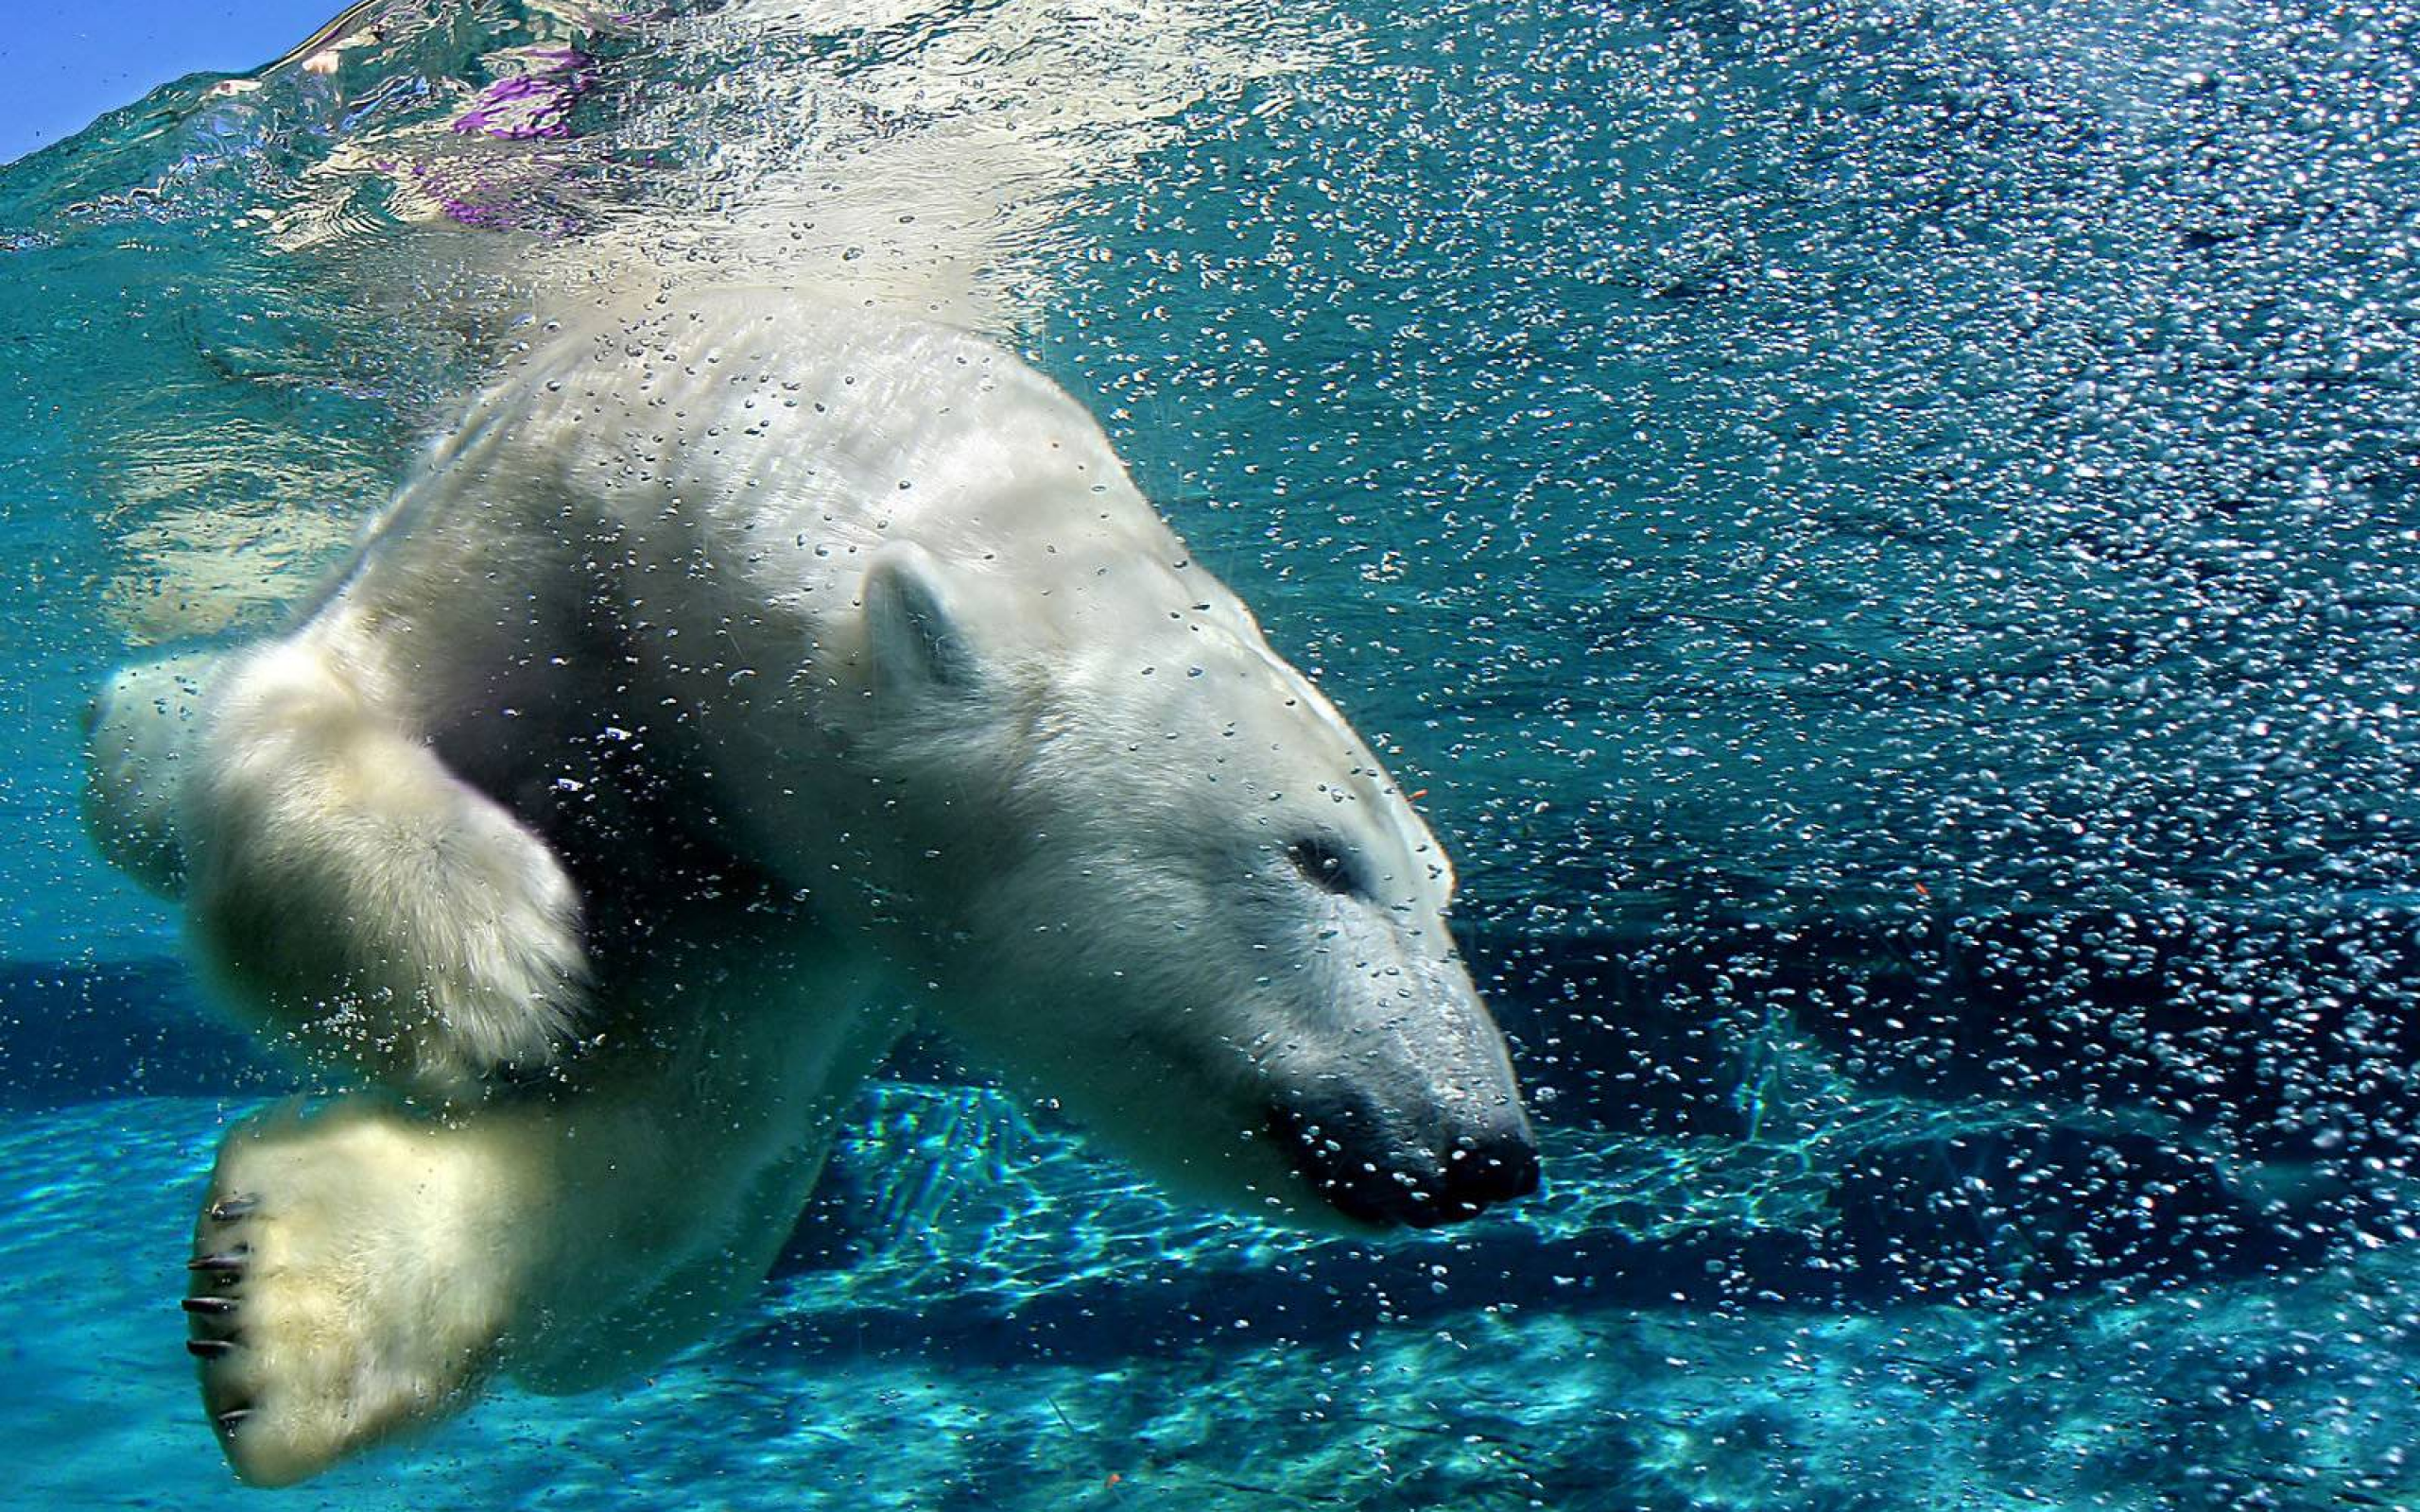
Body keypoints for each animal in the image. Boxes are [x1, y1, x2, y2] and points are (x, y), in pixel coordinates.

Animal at [94, 285, 1539, 1489]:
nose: (1483, 1151)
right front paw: (489, 962)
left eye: (1442, 889)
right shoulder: (542, 524)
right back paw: (135, 719)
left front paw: (274, 1297)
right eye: (1319, 856)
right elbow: (325, 698)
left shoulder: (802, 898)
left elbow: (677, 1122)